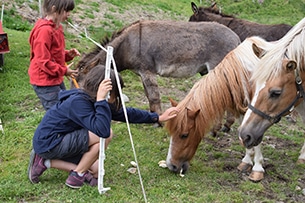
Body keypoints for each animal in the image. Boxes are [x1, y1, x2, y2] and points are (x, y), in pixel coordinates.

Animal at [74, 20, 240, 116]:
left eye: (83, 84)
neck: (127, 45)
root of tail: (237, 37)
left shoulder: (148, 71)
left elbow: (154, 96)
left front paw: (160, 119)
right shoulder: (142, 74)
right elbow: (149, 95)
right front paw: (153, 115)